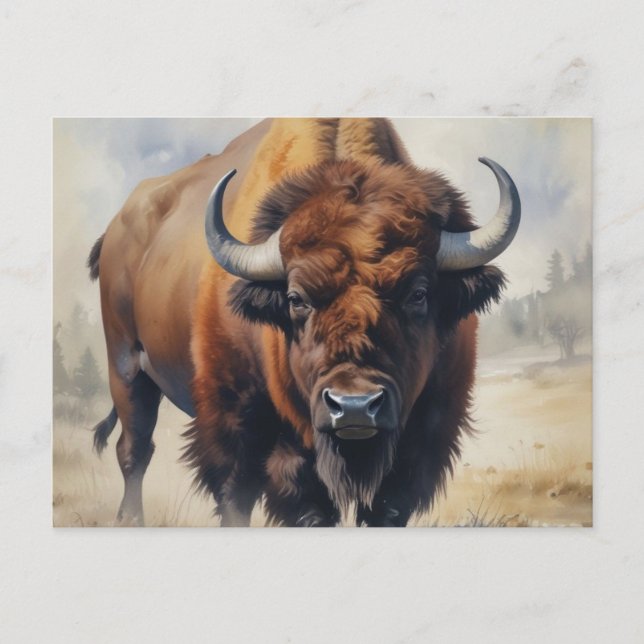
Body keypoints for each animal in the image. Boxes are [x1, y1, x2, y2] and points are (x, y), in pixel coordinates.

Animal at [88, 118, 520, 526]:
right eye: (296, 299)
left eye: (418, 293)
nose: (354, 407)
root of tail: (116, 227)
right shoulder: (238, 422)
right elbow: (249, 497)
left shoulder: (427, 432)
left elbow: (386, 506)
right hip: (127, 370)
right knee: (134, 450)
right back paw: (130, 519)